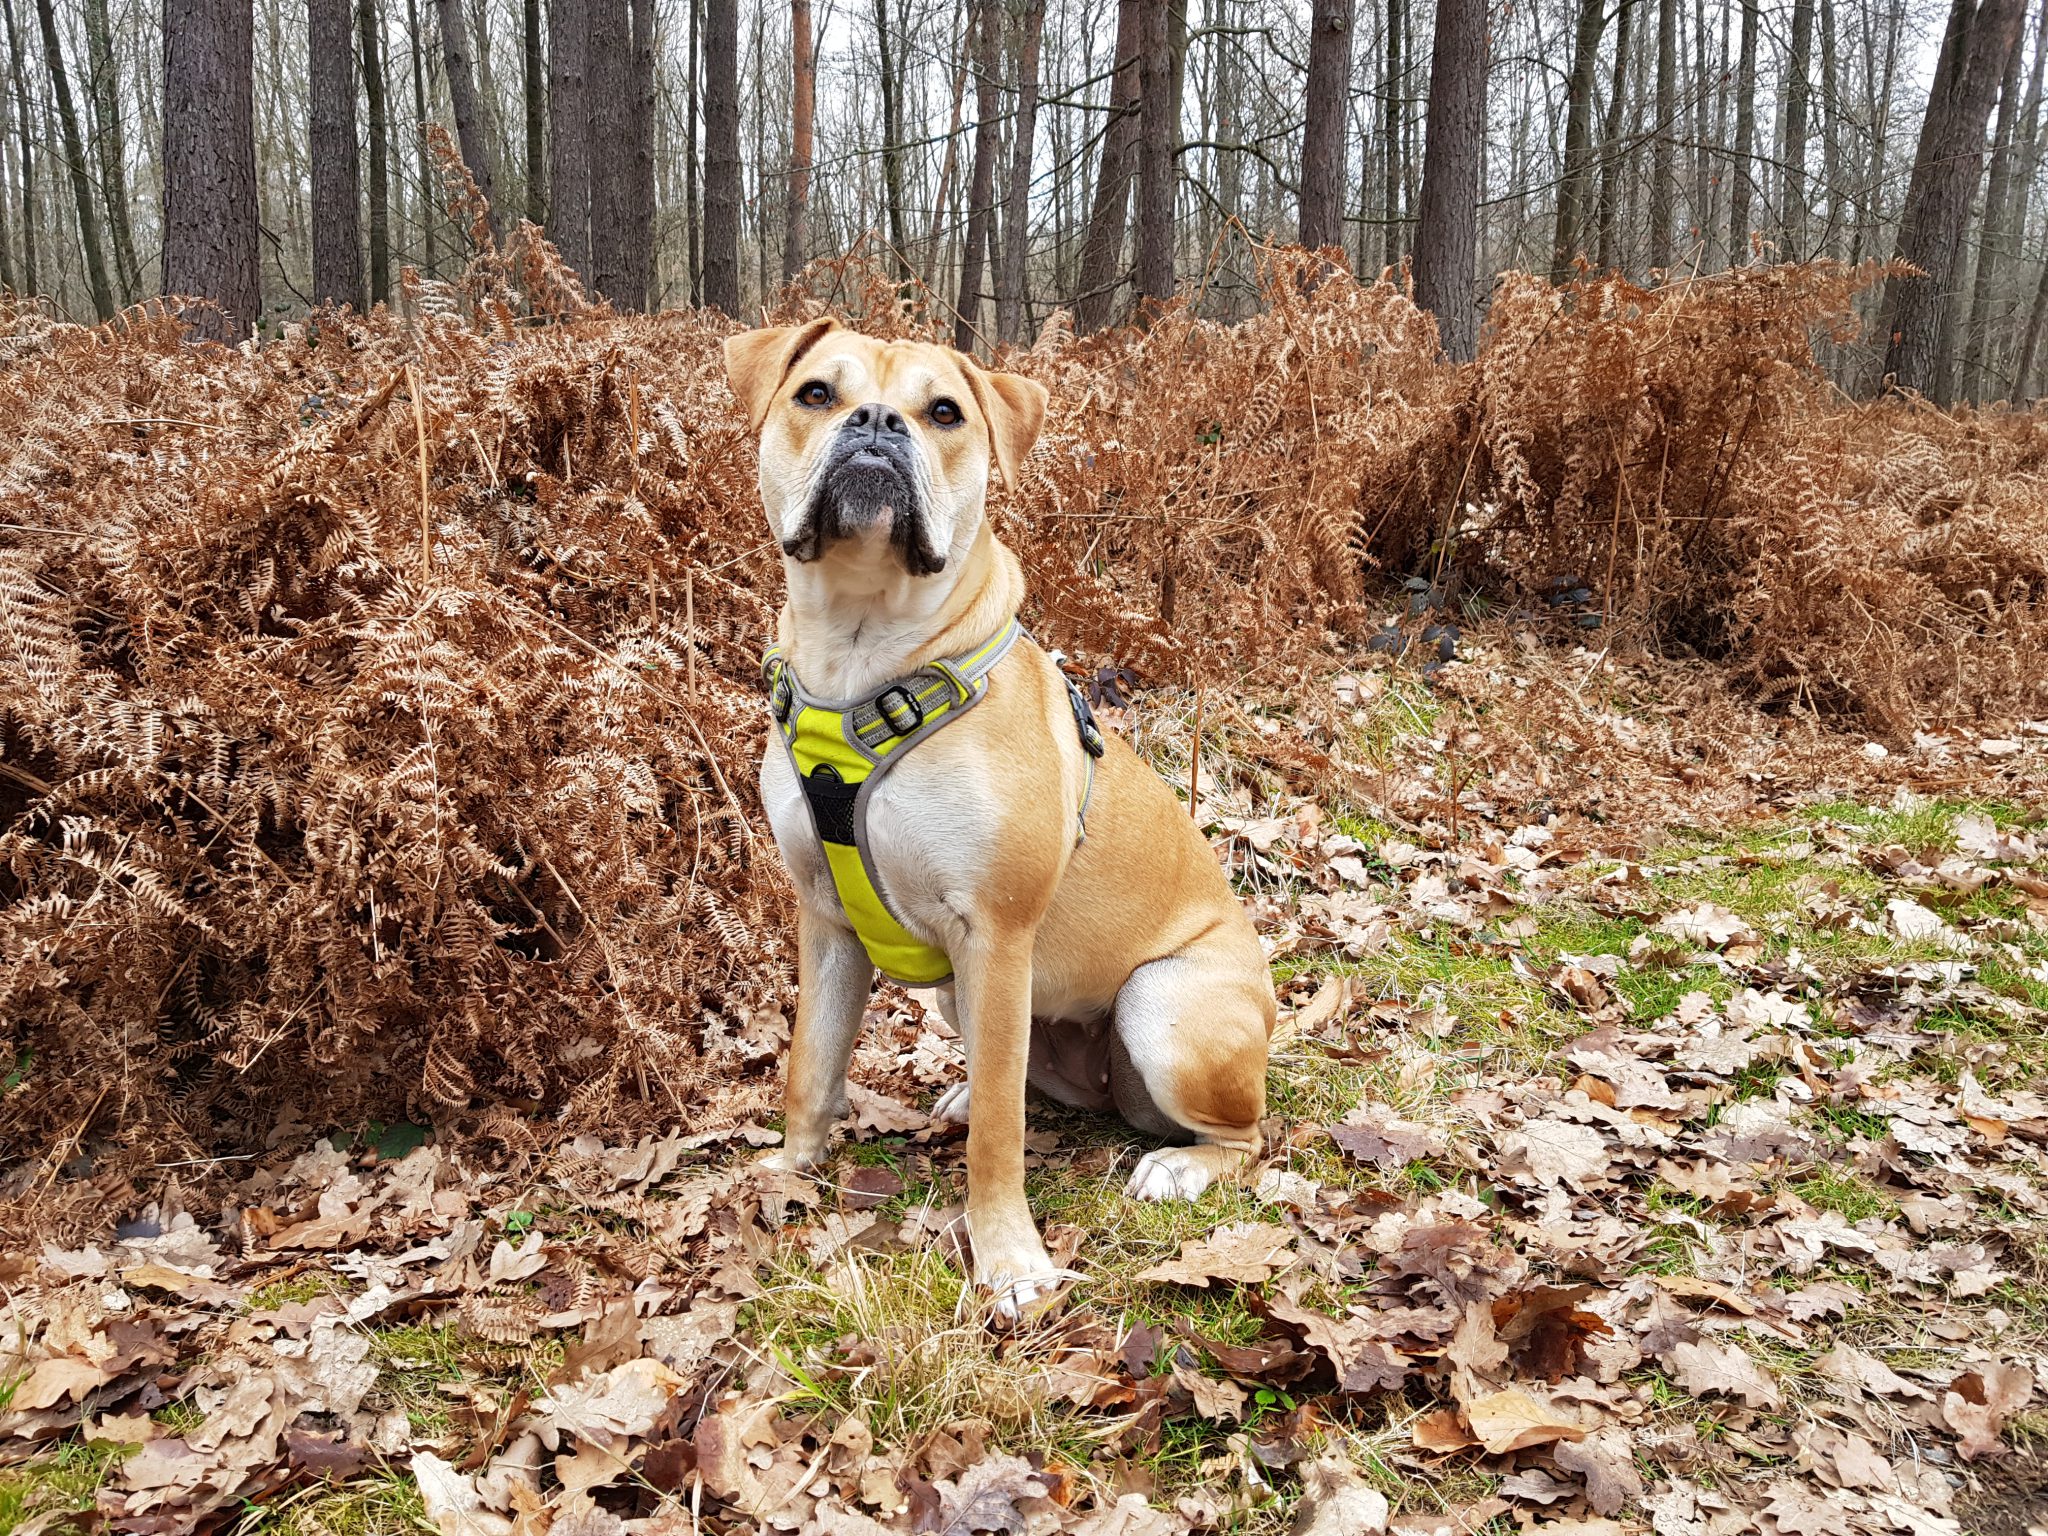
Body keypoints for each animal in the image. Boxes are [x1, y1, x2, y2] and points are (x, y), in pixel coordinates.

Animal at [716, 319, 1261, 1318]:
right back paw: (971, 1095)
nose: (876, 423)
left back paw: (1181, 1167)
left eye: (944, 413)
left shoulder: (998, 934)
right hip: (956, 990)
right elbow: (810, 1067)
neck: (863, 653)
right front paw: (787, 1172)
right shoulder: (827, 921)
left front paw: (1008, 1260)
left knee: (1247, 1136)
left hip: (1161, 1003)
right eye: (814, 394)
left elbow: (1001, 1145)